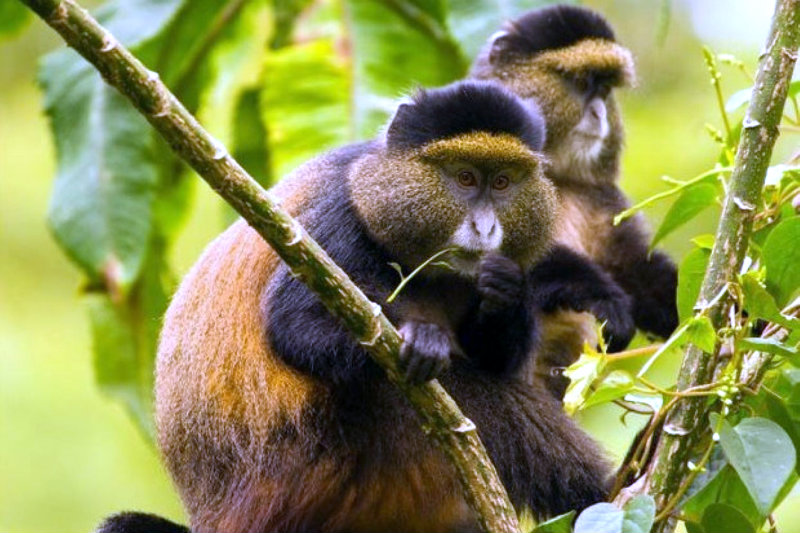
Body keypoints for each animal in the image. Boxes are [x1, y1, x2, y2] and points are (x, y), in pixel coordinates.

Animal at [95, 80, 635, 533]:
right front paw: (424, 339)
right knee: (458, 392)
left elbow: (498, 353)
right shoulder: (337, 219)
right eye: (463, 178)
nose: (485, 229)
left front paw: (507, 289)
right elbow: (296, 326)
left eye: (502, 182)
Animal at [471, 5, 679, 399]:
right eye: (582, 83)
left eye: (605, 88)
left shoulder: (601, 197)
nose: (599, 114)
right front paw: (603, 297)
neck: (556, 176)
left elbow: (635, 267)